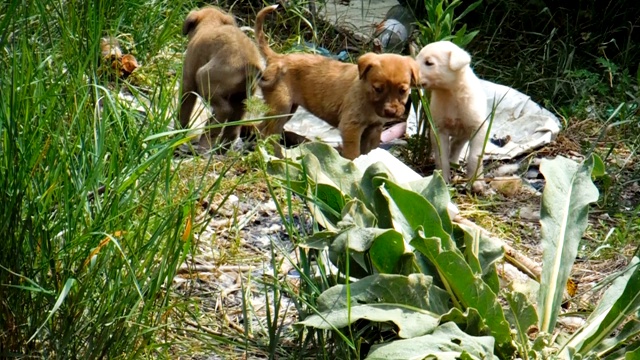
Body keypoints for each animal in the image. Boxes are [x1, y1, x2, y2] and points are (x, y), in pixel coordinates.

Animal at [179, 7, 262, 150]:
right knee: (233, 128)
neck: (211, 24)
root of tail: (249, 62)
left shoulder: (188, 82)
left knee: (224, 110)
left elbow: (184, 112)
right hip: (242, 98)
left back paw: (206, 138)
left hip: (204, 78)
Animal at [255, 4, 420, 160]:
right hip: (281, 107)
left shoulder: (374, 129)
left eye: (403, 91)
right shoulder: (351, 127)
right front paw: (354, 165)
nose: (391, 112)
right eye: (378, 88)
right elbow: (353, 153)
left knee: (262, 128)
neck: (366, 95)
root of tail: (277, 57)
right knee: (267, 132)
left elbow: (369, 150)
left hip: (287, 109)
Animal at [412, 41, 488, 193]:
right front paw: (442, 179)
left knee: (458, 144)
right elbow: (441, 155)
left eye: (429, 63)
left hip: (465, 131)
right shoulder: (438, 128)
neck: (450, 94)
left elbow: (475, 156)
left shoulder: (478, 126)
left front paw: (475, 183)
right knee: (455, 144)